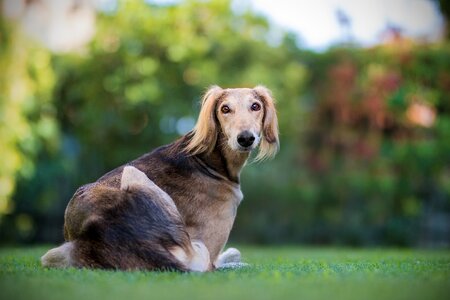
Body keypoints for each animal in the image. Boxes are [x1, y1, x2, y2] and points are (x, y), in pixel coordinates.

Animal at [43, 85, 282, 272]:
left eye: (256, 106)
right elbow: (220, 261)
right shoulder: (208, 247)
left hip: (55, 254)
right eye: (225, 109)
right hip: (132, 172)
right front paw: (237, 261)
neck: (208, 159)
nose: (245, 138)